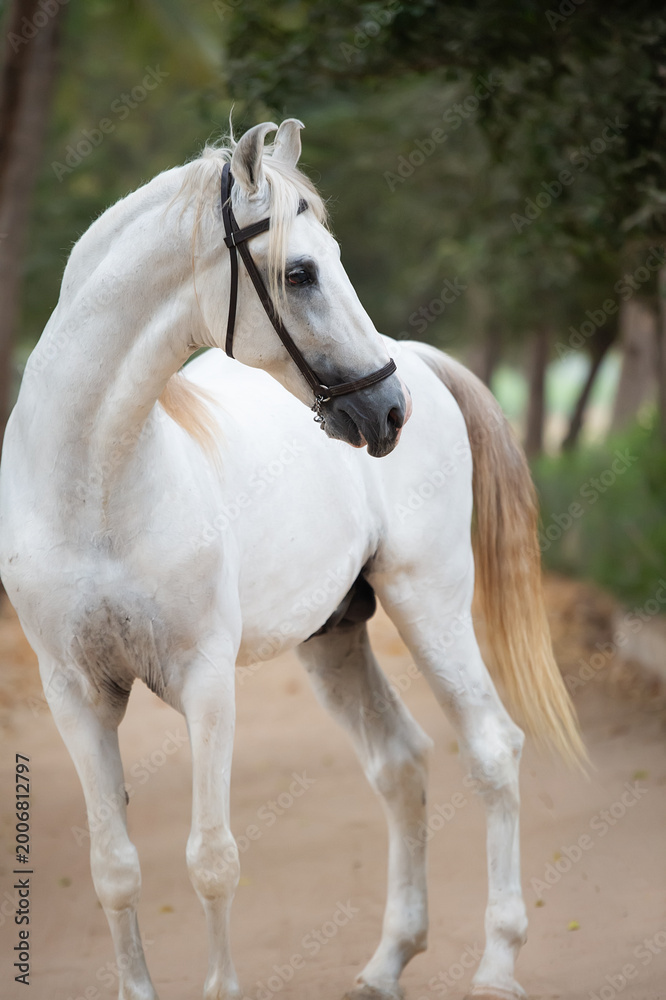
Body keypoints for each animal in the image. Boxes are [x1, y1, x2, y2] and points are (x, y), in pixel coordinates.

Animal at [0, 119, 584, 1000]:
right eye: (300, 271)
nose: (388, 410)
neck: (94, 491)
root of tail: (423, 359)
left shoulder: (205, 682)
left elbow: (211, 862)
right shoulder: (77, 696)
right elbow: (116, 870)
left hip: (430, 605)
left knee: (491, 748)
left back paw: (496, 965)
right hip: (333, 637)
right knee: (400, 762)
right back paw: (385, 963)